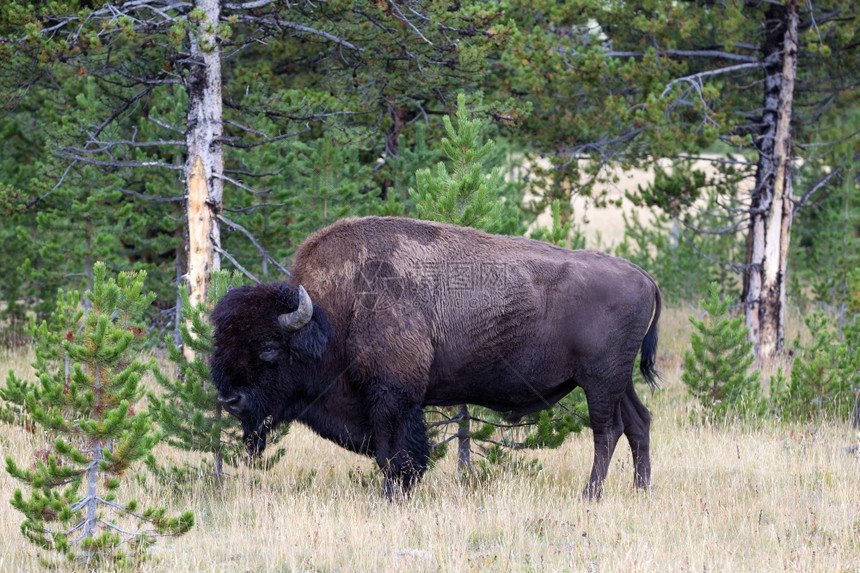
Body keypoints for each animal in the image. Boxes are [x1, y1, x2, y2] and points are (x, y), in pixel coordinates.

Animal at [212, 217, 660, 498]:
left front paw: (393, 495)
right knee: (638, 423)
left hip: (598, 380)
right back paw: (641, 491)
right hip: (618, 381)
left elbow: (396, 454)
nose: (230, 400)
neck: (338, 311)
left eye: (269, 349)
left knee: (607, 431)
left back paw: (590, 495)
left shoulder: (393, 396)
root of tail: (643, 275)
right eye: (220, 344)